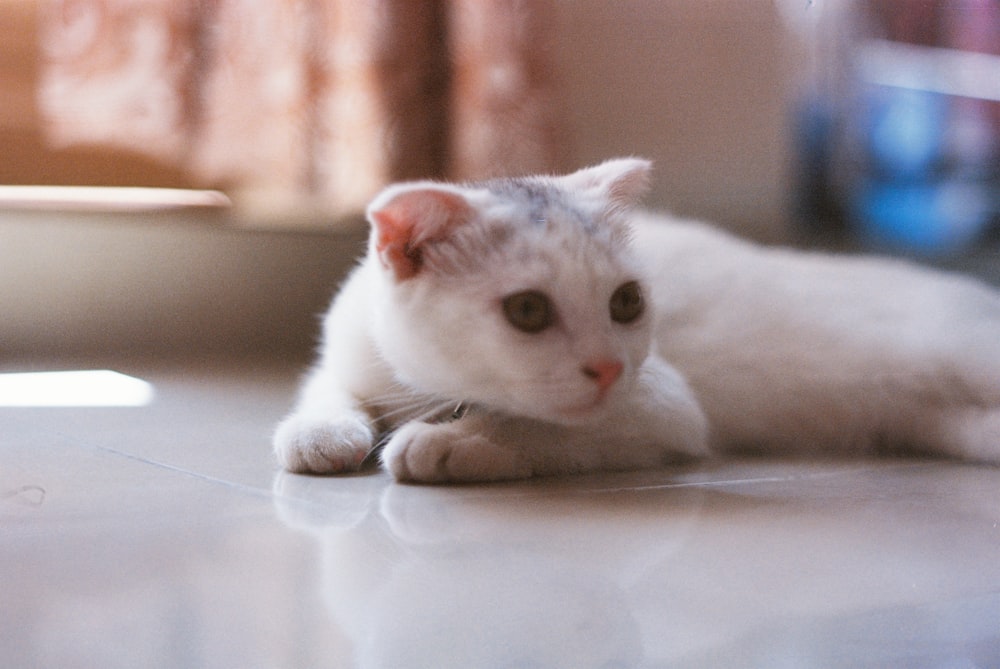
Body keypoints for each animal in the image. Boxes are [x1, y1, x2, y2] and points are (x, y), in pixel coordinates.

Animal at [274, 157, 1000, 480]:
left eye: (626, 302)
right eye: (528, 310)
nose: (607, 366)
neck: (427, 388)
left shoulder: (665, 405)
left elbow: (546, 428)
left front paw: (457, 442)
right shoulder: (348, 347)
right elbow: (327, 387)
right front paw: (320, 432)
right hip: (942, 423)